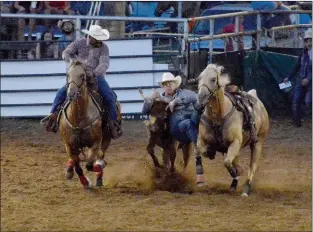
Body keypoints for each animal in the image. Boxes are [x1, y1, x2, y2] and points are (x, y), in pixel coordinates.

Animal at [59, 60, 111, 188]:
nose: (71, 94)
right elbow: (78, 167)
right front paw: (85, 182)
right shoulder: (69, 145)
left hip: (106, 138)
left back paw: (99, 175)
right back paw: (69, 171)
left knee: (100, 155)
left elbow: (90, 165)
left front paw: (100, 166)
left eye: (82, 75)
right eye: (67, 74)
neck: (79, 117)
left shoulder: (96, 143)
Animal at [195, 64, 268, 197]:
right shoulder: (201, 139)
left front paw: (234, 172)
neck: (217, 117)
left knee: (252, 166)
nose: (200, 98)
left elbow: (227, 162)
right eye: (199, 78)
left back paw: (245, 189)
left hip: (258, 142)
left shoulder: (235, 142)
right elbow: (201, 151)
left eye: (213, 79)